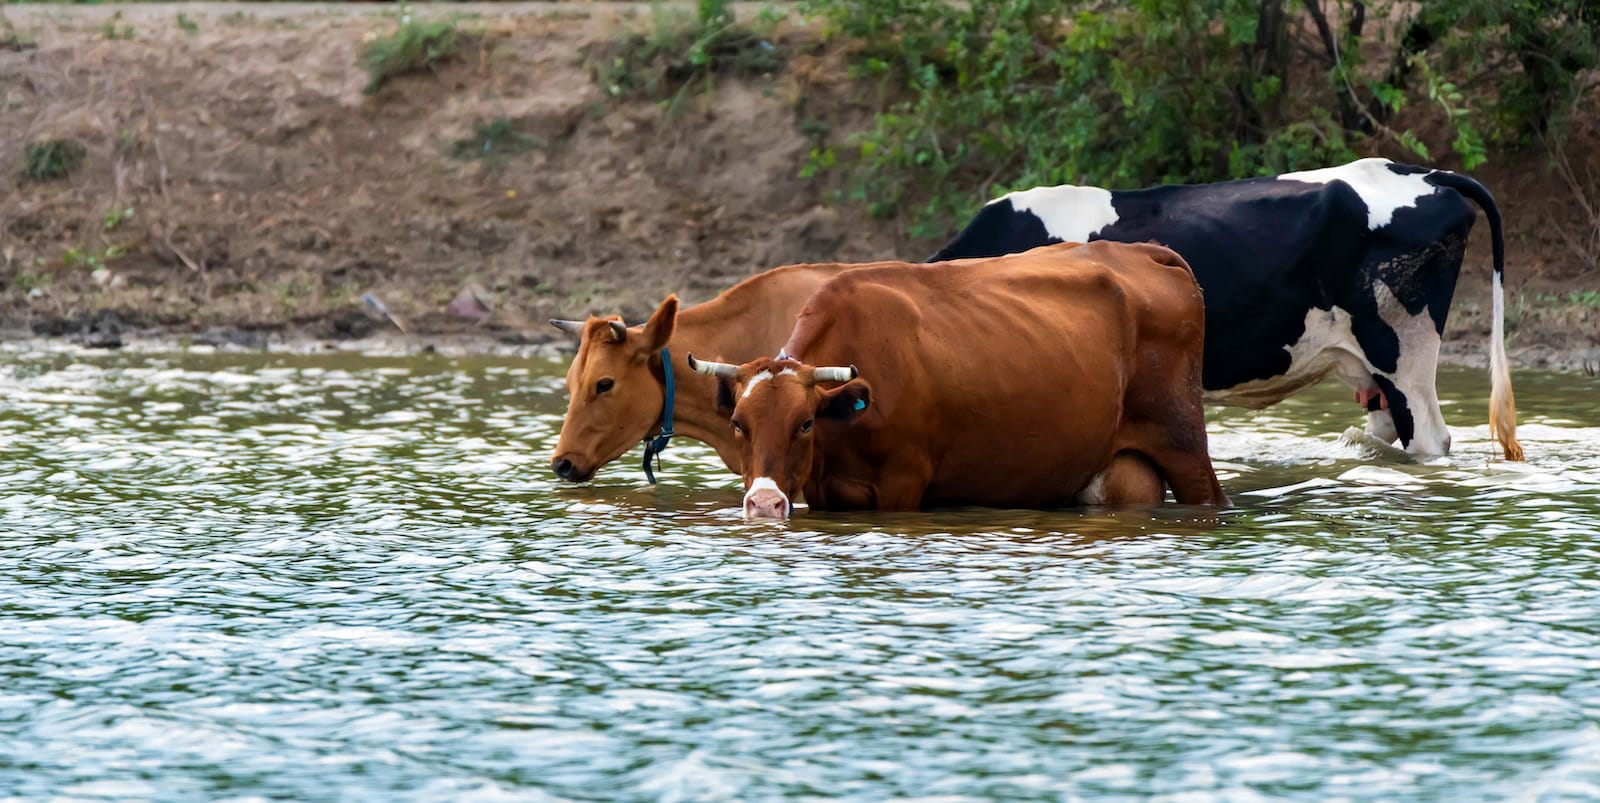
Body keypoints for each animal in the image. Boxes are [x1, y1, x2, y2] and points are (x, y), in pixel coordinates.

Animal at [684, 239, 1222, 521]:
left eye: (804, 424)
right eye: (738, 423)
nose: (764, 504)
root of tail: (1144, 251)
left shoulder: (902, 483)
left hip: (1185, 446)